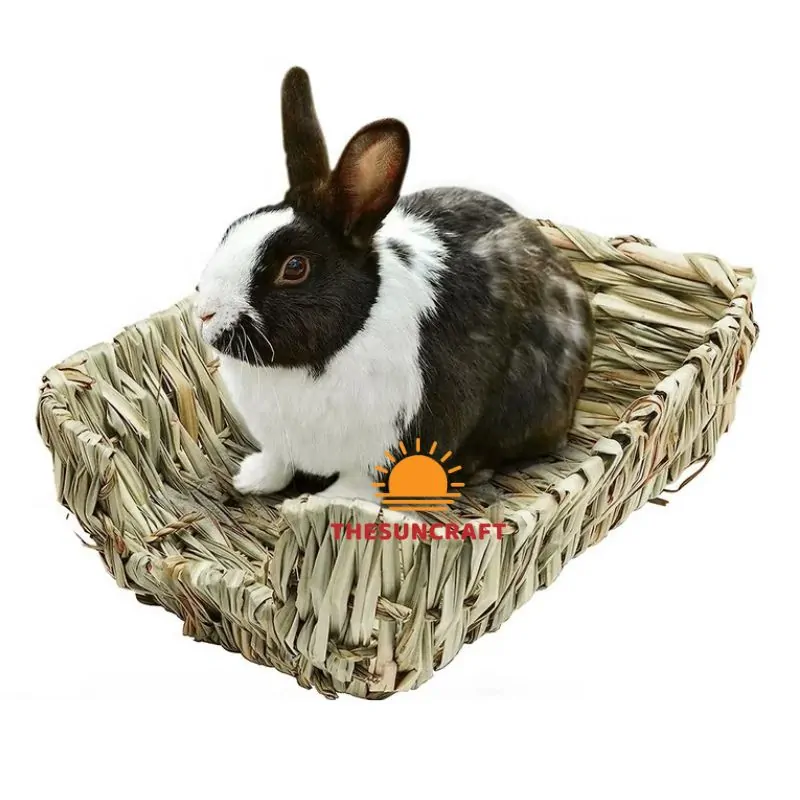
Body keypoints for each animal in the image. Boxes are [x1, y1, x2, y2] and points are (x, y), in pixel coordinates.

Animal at [195, 66, 594, 504]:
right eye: (233, 226)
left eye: (295, 267)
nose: (205, 313)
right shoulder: (280, 443)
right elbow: (278, 462)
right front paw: (251, 480)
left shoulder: (388, 445)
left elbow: (358, 486)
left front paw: (324, 503)